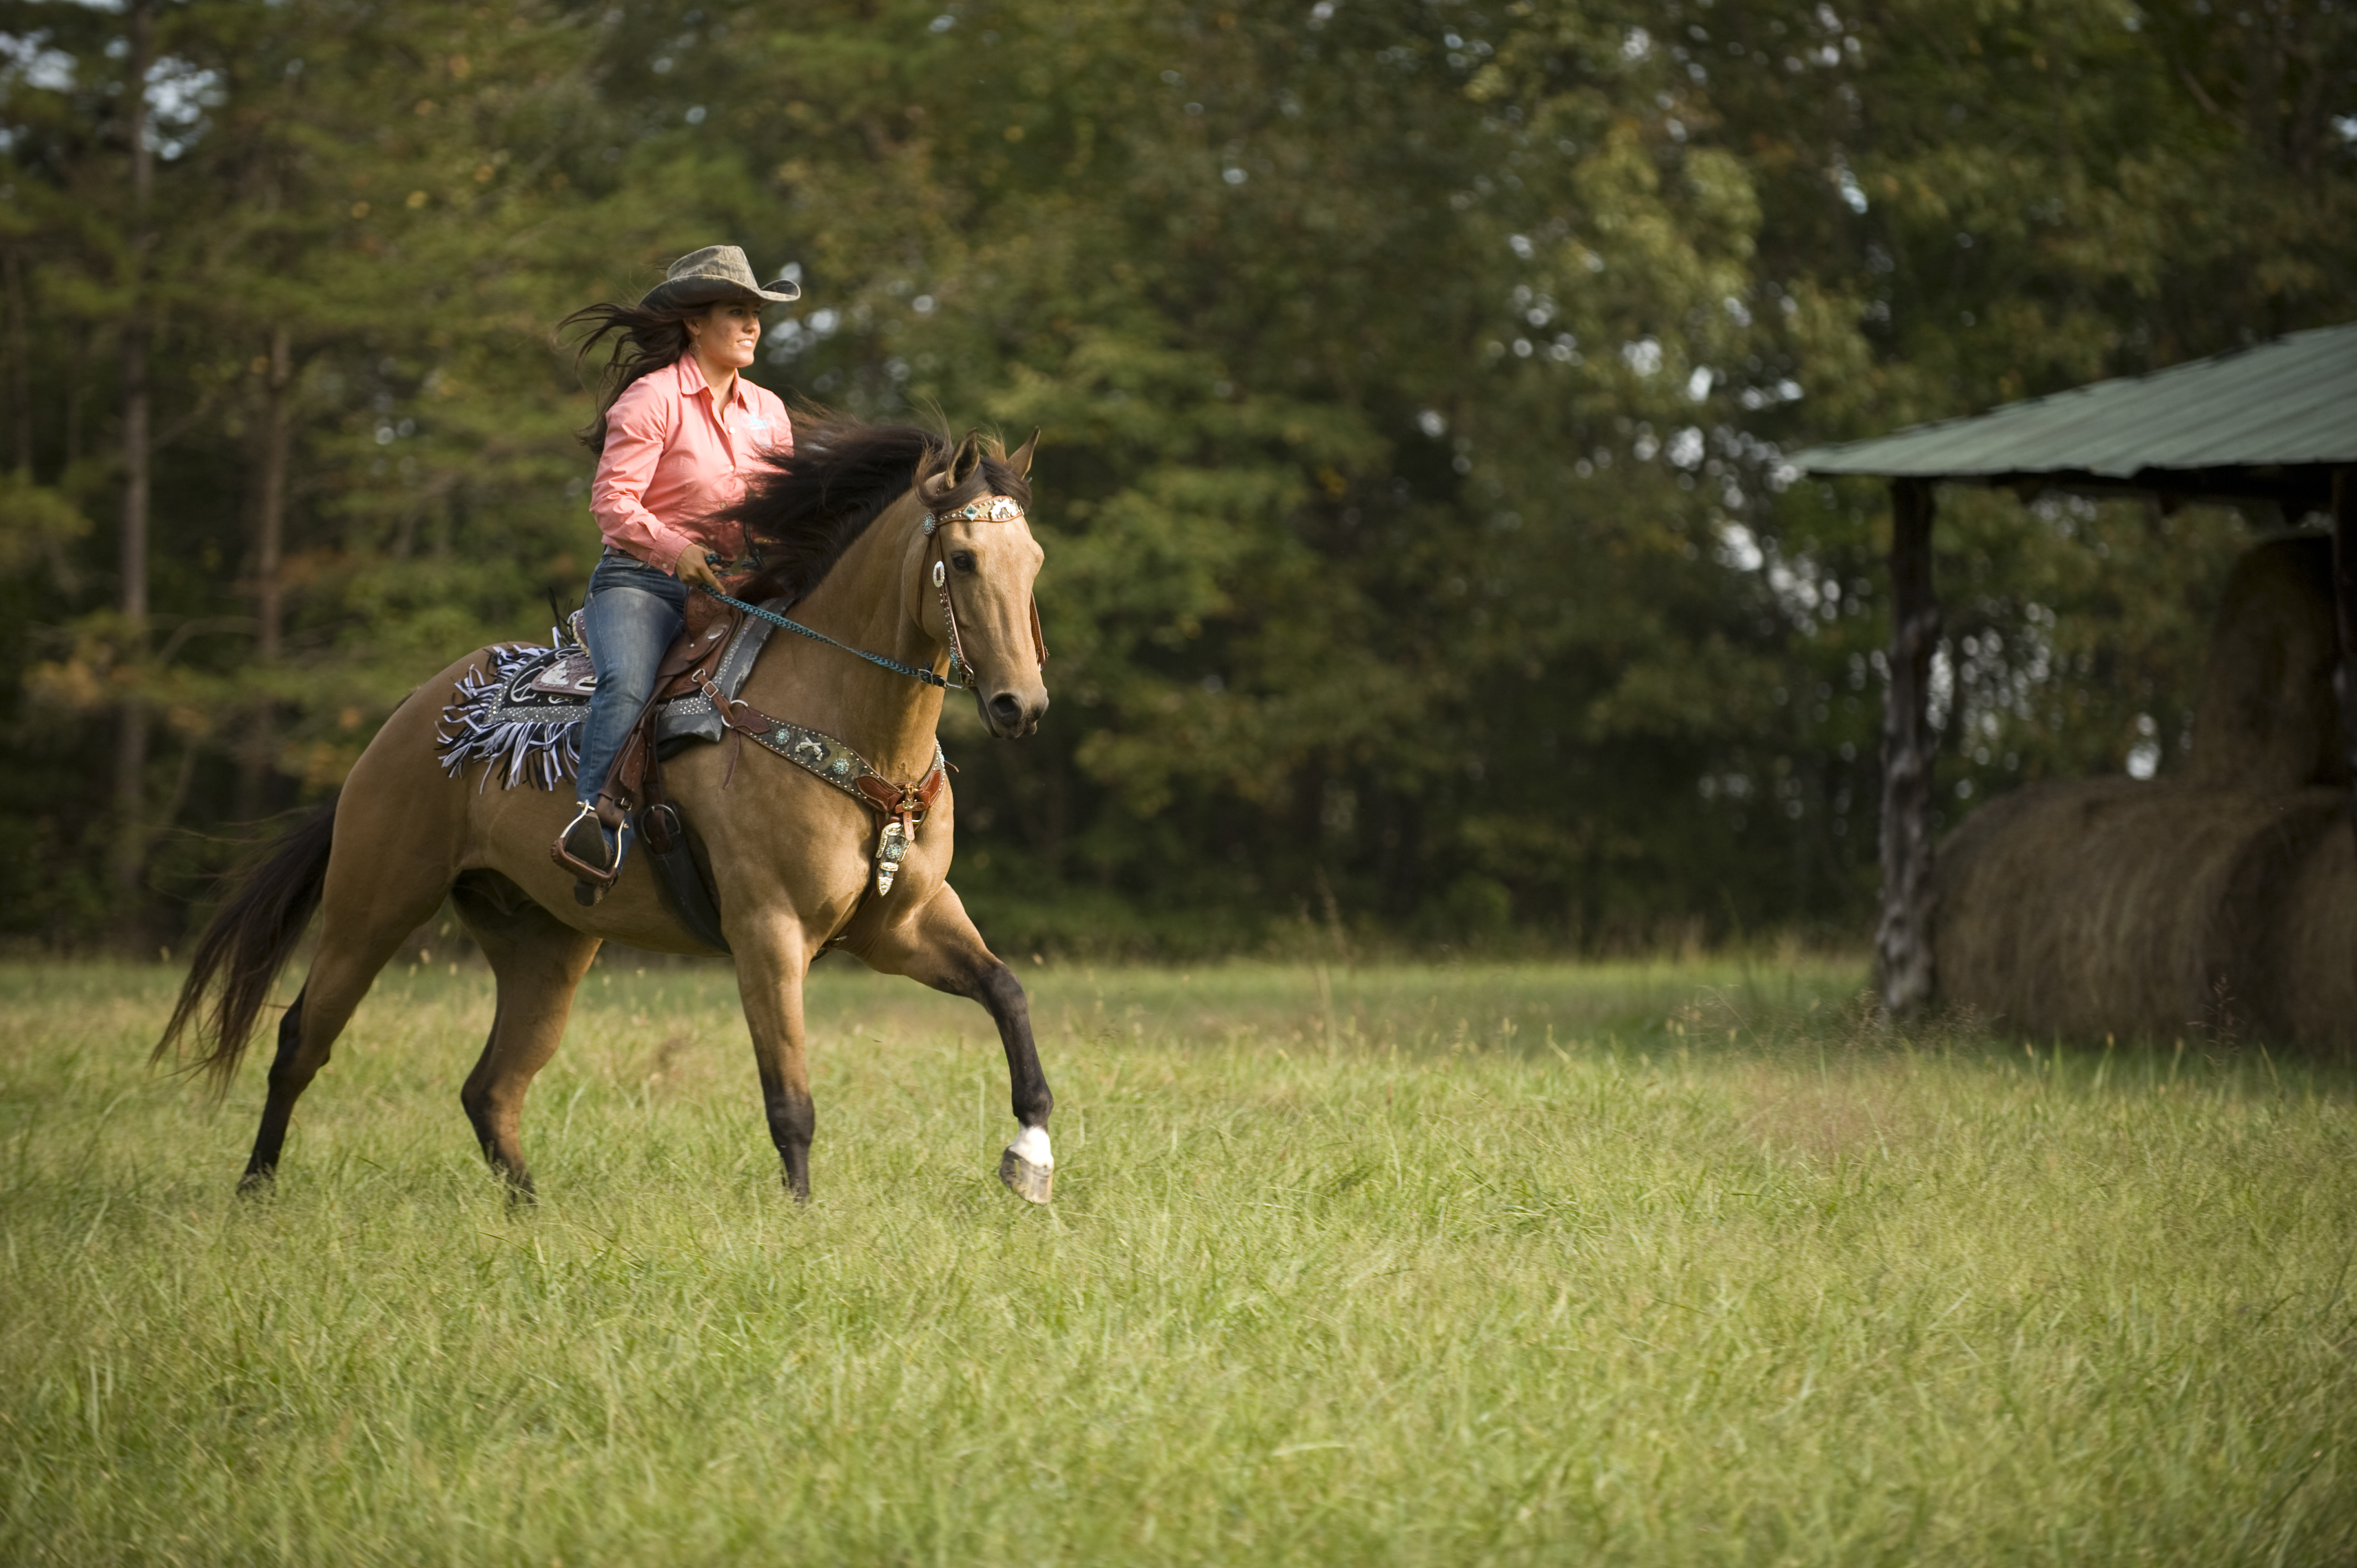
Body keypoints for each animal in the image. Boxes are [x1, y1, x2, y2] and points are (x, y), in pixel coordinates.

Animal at [157, 415, 1061, 1198]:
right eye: (964, 559)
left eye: (1034, 559)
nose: (1021, 705)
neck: (852, 737)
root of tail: (409, 720)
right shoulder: (767, 932)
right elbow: (790, 1102)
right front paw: (803, 1221)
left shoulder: (902, 926)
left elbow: (1008, 993)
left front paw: (1031, 1158)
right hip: (371, 907)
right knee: (300, 1042)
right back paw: (255, 1191)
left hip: (543, 943)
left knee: (491, 1087)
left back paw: (531, 1212)